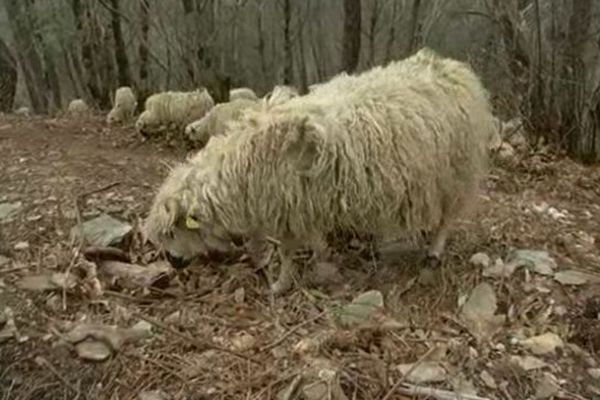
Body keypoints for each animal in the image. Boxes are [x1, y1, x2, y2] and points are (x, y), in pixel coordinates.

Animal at [144, 48, 496, 296]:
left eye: (173, 231)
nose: (173, 262)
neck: (244, 168)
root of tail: (454, 69)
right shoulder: (294, 203)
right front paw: (313, 255)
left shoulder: (288, 207)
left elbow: (286, 251)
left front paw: (280, 284)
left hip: (456, 172)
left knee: (447, 219)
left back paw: (433, 253)